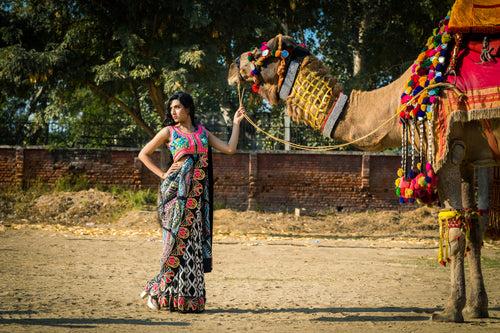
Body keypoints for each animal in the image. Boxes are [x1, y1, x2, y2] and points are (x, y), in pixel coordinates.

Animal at [228, 31, 500, 322]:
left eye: (261, 53)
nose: (232, 66)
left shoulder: (445, 147)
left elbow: (455, 231)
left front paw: (450, 309)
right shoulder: (469, 156)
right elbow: (473, 228)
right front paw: (476, 307)